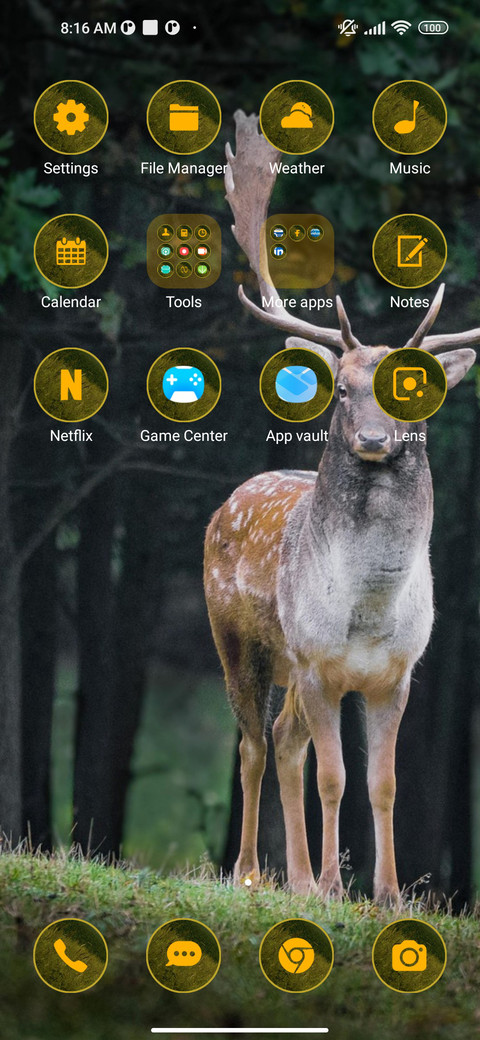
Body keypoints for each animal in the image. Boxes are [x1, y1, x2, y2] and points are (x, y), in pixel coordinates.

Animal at [204, 111, 480, 903]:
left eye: (412, 389)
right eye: (344, 389)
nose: (374, 439)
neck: (368, 611)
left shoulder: (399, 674)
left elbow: (383, 783)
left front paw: (387, 893)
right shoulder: (319, 663)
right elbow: (334, 777)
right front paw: (334, 884)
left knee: (283, 741)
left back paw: (296, 878)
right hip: (241, 644)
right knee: (254, 744)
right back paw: (255, 873)